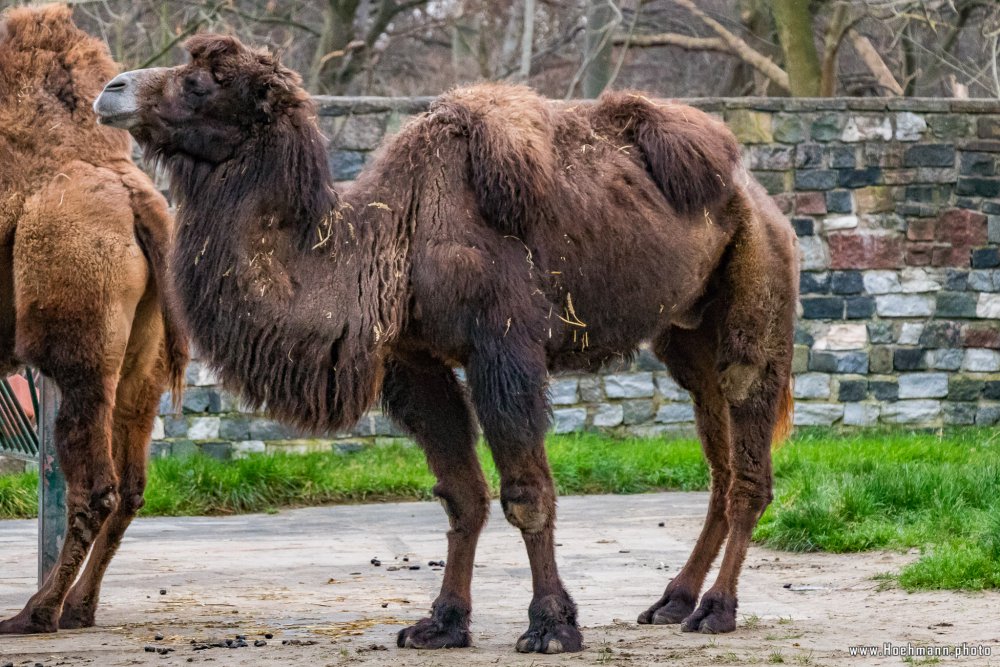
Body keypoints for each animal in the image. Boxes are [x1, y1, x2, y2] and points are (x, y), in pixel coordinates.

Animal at [0, 3, 188, 632]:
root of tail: (140, 200)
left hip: (78, 339)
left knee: (95, 487)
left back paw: (36, 613)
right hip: (143, 363)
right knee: (131, 487)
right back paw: (78, 608)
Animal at [94, 35, 796, 652]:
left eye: (203, 81)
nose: (112, 89)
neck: (382, 242)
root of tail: (762, 201)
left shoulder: (502, 351)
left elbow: (525, 493)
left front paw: (551, 626)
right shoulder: (415, 361)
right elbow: (461, 494)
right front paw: (440, 623)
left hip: (756, 306)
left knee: (748, 458)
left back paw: (716, 610)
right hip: (686, 335)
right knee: (719, 457)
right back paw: (673, 600)